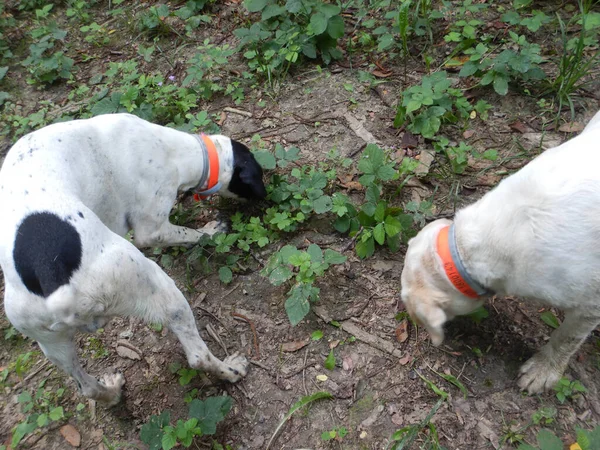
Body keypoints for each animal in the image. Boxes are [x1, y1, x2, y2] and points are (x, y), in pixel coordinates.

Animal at [0, 112, 268, 404]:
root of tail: (56, 287)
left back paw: (112, 392)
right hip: (157, 287)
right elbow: (190, 234)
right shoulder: (151, 230)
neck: (171, 148)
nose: (267, 196)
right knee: (197, 356)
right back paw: (231, 369)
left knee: (86, 387)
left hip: (52, 344)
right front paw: (211, 230)